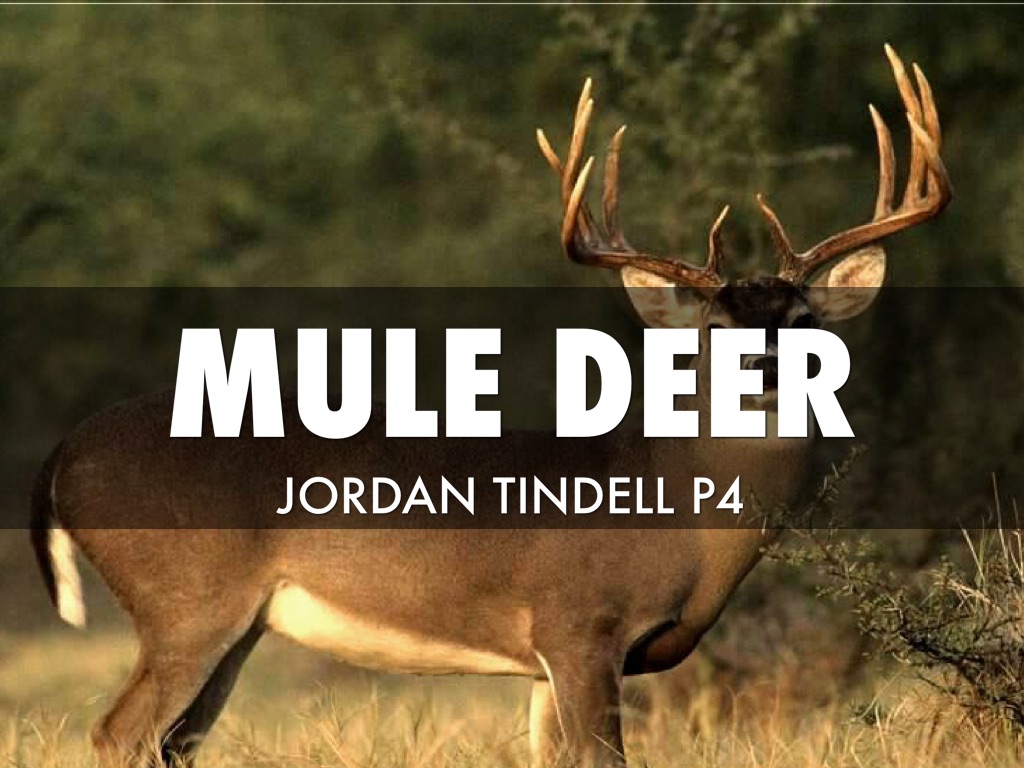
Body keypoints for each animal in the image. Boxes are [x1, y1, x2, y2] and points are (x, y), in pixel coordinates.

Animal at [30, 45, 949, 768]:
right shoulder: (580, 624)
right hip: (187, 599)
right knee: (117, 733)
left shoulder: (546, 664)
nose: (768, 367)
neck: (677, 517)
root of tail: (63, 455)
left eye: (802, 319)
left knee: (170, 743)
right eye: (716, 326)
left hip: (235, 624)